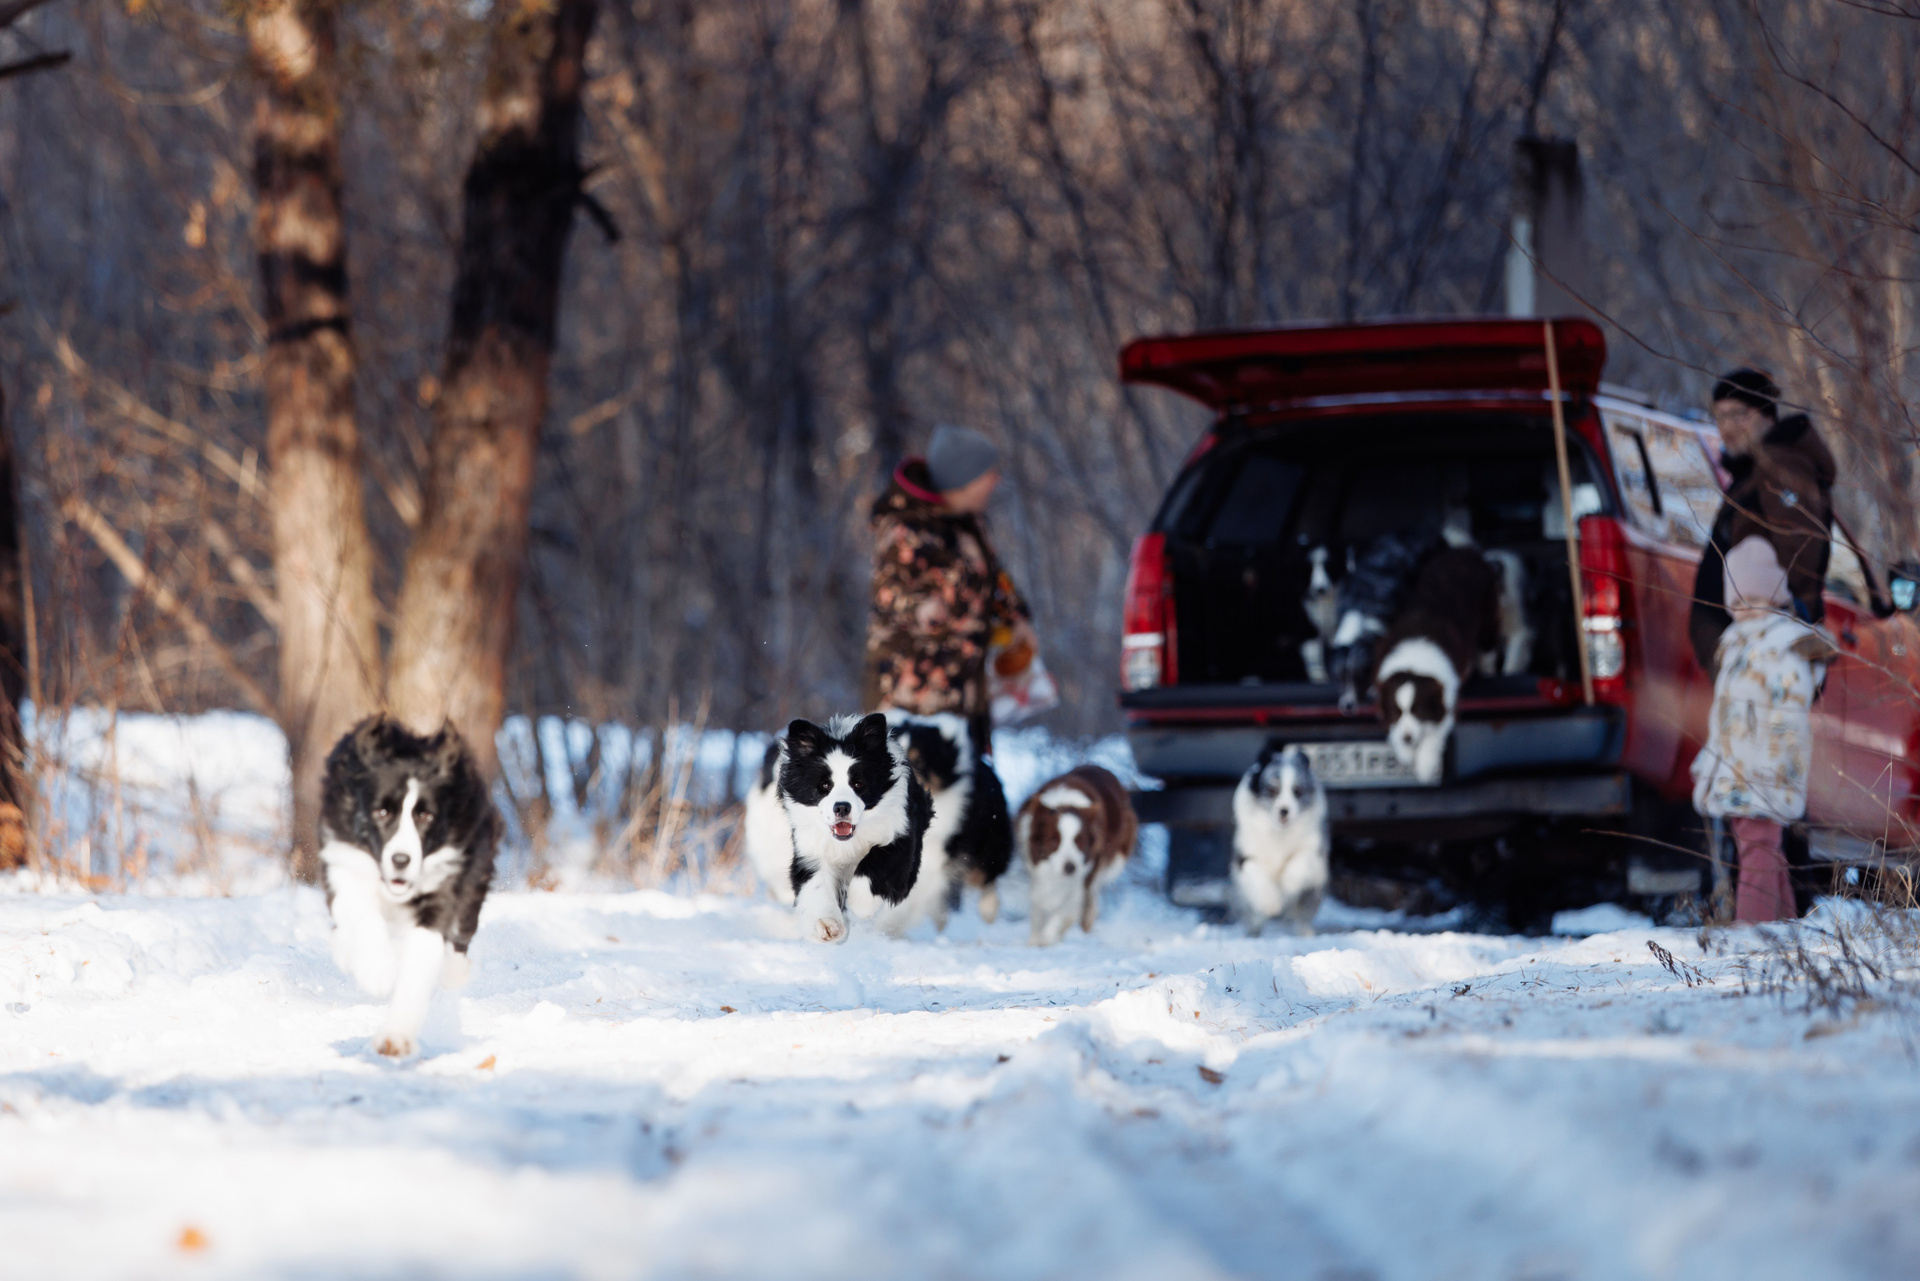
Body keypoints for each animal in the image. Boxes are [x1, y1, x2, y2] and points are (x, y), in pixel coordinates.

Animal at [319, 715, 501, 1058]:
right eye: (381, 812)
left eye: (426, 816)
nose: (401, 860)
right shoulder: (343, 861)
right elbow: (360, 913)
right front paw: (376, 971)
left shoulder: (443, 888)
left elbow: (421, 960)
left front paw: (396, 1037)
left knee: (462, 930)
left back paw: (454, 971)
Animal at [777, 713, 933, 942]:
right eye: (824, 785)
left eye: (858, 784)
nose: (842, 807)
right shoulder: (810, 850)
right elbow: (816, 883)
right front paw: (828, 926)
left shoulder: (900, 836)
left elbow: (878, 861)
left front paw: (861, 904)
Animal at [1017, 765, 1137, 946]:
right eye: (1054, 841)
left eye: (1080, 842)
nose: (1070, 868)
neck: (1065, 804)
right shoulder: (1038, 873)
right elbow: (1038, 908)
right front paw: (1035, 939)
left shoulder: (1083, 876)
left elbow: (1065, 909)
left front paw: (1047, 936)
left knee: (1091, 899)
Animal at [1230, 744, 1329, 935]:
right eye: (1272, 790)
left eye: (1297, 791)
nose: (1284, 811)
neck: (1278, 832)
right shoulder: (1244, 856)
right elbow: (1256, 872)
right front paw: (1272, 904)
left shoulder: (1314, 849)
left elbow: (1301, 859)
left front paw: (1288, 884)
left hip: (1311, 895)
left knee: (1303, 916)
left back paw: (1306, 933)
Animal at [1373, 547, 1502, 783]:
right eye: (1397, 712)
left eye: (1419, 712)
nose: (1407, 738)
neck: (1413, 663)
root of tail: (1465, 552)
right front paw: (1405, 752)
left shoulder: (1446, 695)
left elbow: (1434, 734)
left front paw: (1424, 767)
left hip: (1488, 619)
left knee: (1488, 648)